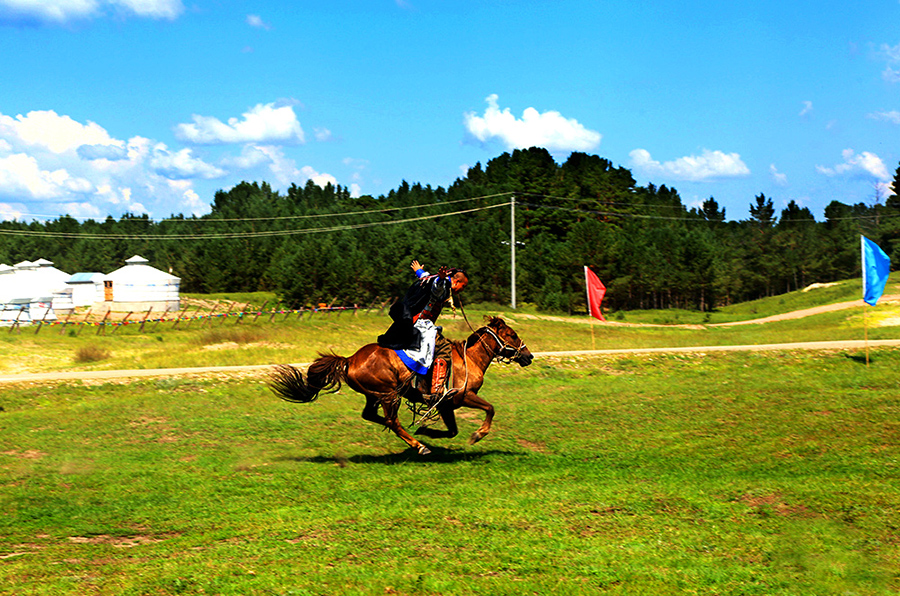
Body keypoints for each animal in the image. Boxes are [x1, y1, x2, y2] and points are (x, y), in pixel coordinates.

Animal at [270, 318, 532, 454]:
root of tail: (350, 360)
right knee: (392, 421)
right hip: (389, 395)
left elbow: (452, 430)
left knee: (373, 416)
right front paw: (478, 434)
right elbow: (490, 408)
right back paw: (419, 446)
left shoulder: (446, 405)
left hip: (376, 395)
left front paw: (427, 431)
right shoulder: (463, 396)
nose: (528, 356)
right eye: (511, 334)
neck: (470, 358)